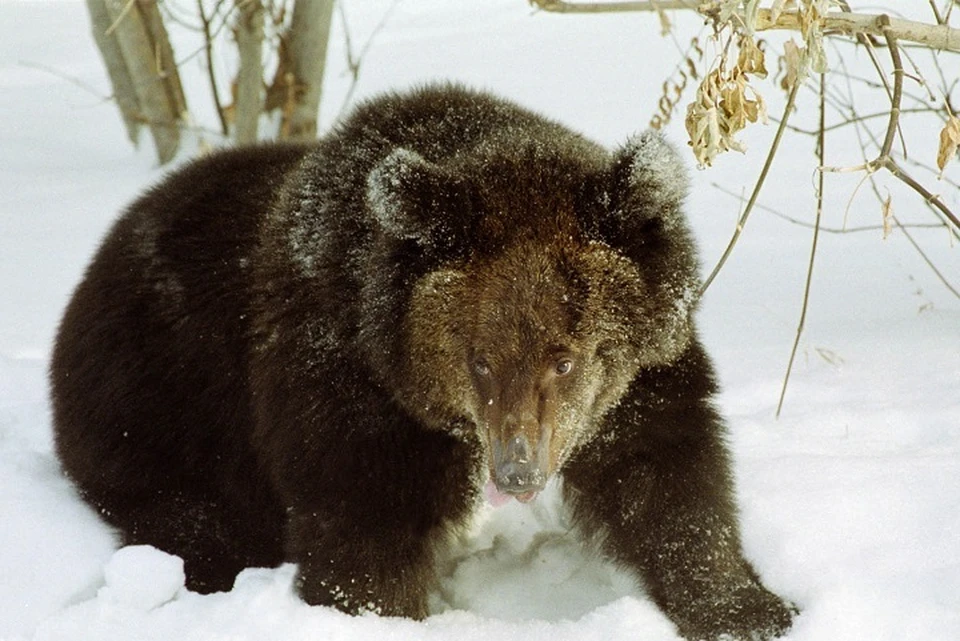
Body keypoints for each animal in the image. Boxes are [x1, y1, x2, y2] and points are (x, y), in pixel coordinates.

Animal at [52, 85, 800, 640]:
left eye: (564, 358)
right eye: (480, 359)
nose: (518, 471)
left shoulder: (639, 383)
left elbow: (668, 482)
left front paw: (747, 607)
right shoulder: (351, 395)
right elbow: (366, 534)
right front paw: (374, 611)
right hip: (156, 414)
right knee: (193, 522)